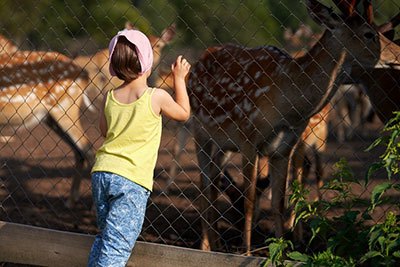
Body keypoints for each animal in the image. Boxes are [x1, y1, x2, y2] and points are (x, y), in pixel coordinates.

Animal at [188, 0, 384, 255]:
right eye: (369, 34)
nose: (388, 57)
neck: (287, 105)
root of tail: (197, 61)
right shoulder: (248, 137)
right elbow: (250, 199)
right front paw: (247, 252)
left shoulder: (284, 147)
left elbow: (278, 202)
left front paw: (279, 251)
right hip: (200, 130)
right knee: (203, 185)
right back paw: (205, 247)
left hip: (224, 144)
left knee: (212, 182)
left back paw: (216, 243)